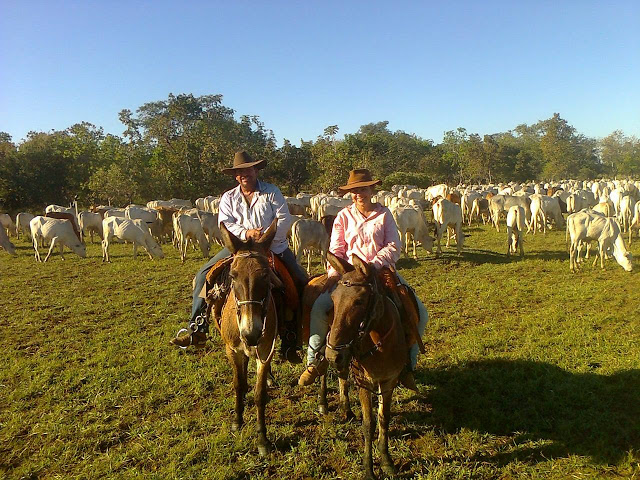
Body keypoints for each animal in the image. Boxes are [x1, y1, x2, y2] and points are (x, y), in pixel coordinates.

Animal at [219, 219, 282, 456]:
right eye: (233, 275)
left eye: (266, 275)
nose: (251, 333)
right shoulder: (232, 349)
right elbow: (239, 384)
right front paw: (237, 421)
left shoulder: (265, 351)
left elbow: (259, 394)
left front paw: (262, 439)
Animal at [322, 253, 408, 478]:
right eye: (334, 299)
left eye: (359, 301)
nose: (333, 353)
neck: (380, 344)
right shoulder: (364, 383)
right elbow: (368, 423)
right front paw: (368, 468)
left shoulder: (389, 381)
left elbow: (384, 418)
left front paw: (386, 460)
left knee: (342, 375)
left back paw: (345, 407)